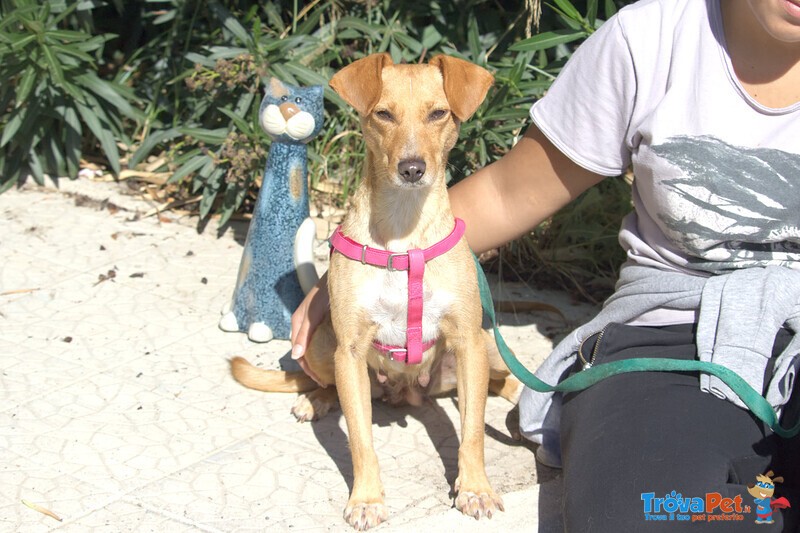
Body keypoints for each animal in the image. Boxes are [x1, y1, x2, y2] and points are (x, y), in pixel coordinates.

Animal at [230, 53, 524, 528]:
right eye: (383, 114)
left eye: (438, 114)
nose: (412, 168)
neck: (404, 232)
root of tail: (407, 393)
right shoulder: (349, 349)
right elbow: (360, 440)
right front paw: (366, 498)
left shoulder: (467, 342)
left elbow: (473, 431)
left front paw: (475, 489)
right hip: (321, 343)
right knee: (331, 386)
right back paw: (314, 400)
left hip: (489, 347)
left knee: (502, 382)